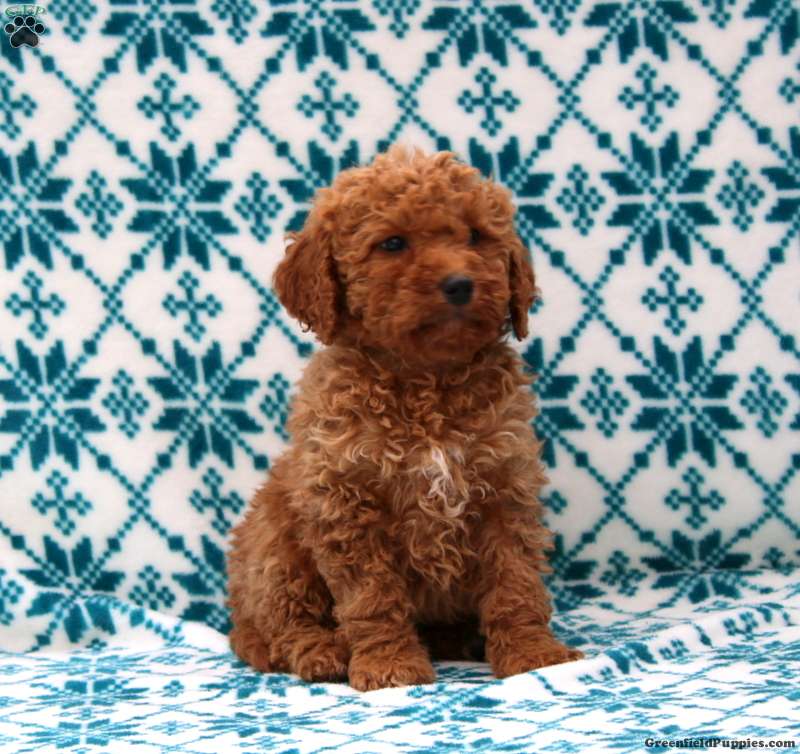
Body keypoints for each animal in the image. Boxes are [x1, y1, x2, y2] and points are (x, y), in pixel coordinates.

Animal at [226, 145, 582, 691]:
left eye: (475, 236)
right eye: (392, 243)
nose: (459, 283)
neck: (425, 382)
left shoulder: (505, 489)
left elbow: (515, 583)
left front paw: (533, 654)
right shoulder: (346, 502)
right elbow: (373, 599)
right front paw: (390, 666)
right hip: (273, 541)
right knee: (283, 623)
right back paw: (322, 652)